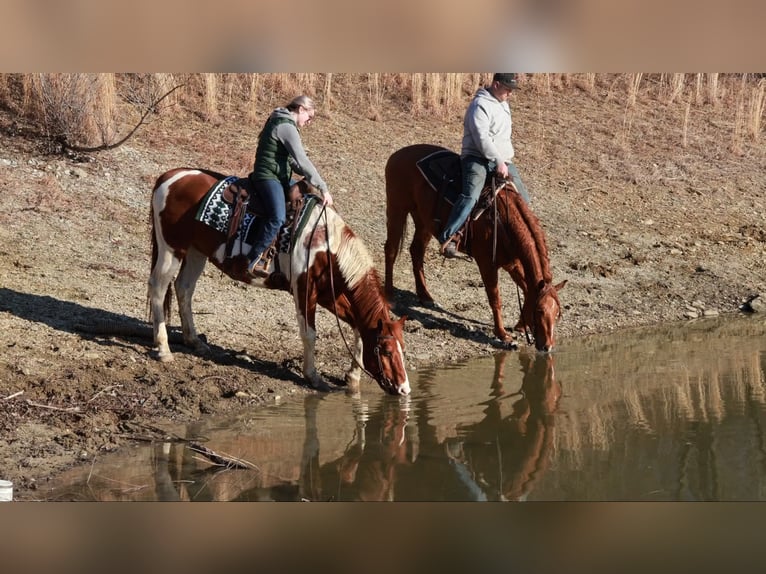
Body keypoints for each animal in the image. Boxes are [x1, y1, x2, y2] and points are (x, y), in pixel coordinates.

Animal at [152, 169, 414, 398]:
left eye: (403, 349)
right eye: (387, 351)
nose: (404, 390)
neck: (326, 246)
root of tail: (170, 176)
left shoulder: (328, 294)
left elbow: (358, 326)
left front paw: (352, 377)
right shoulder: (304, 289)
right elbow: (309, 334)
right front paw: (313, 376)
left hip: (196, 252)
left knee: (183, 289)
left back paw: (194, 341)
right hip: (170, 250)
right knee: (158, 290)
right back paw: (164, 350)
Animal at [388, 145, 568, 352]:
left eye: (557, 313)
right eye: (539, 311)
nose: (547, 347)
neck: (502, 220)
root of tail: (399, 153)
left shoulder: (513, 263)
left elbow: (526, 288)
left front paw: (520, 326)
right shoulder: (487, 264)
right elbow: (495, 298)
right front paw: (503, 335)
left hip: (424, 222)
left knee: (416, 251)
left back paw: (426, 297)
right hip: (396, 209)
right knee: (390, 250)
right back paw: (389, 294)